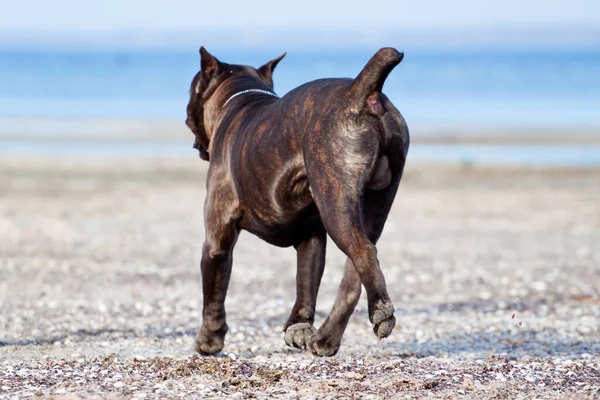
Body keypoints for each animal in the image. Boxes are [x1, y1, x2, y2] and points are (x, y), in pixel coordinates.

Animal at [186, 47, 408, 356]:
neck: (240, 98)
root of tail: (361, 90)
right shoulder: (311, 237)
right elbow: (305, 283)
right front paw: (299, 326)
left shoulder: (217, 240)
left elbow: (214, 294)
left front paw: (209, 340)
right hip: (374, 206)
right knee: (353, 276)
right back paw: (326, 338)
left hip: (336, 204)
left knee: (363, 251)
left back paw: (380, 312)